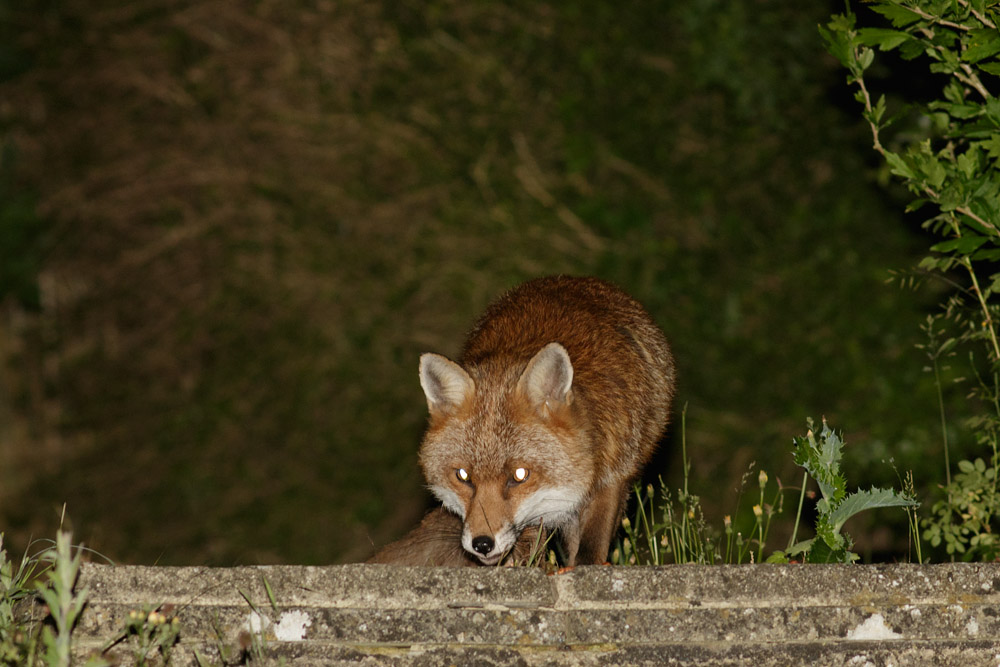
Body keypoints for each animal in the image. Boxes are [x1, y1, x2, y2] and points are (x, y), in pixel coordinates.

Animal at [417, 275, 675, 566]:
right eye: (463, 476)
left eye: (520, 475)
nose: (482, 544)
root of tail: (571, 279)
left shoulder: (613, 474)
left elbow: (590, 547)